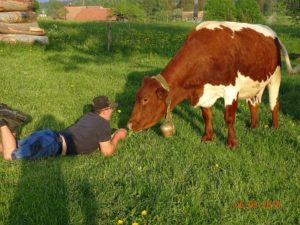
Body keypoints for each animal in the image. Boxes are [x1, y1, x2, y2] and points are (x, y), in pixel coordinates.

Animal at [127, 20, 300, 148]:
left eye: (145, 99)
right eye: (136, 97)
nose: (129, 125)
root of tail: (272, 33)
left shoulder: (231, 89)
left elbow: (229, 117)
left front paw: (231, 143)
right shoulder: (205, 91)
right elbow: (206, 115)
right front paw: (208, 137)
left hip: (275, 78)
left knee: (274, 103)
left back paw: (274, 127)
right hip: (254, 84)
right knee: (253, 103)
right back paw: (253, 126)